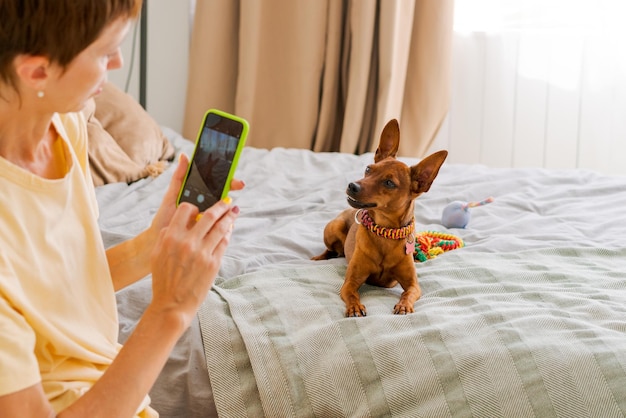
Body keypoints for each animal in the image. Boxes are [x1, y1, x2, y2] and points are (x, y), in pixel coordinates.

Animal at [314, 120, 446, 316]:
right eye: (368, 169)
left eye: (389, 183)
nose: (352, 185)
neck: (385, 232)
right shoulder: (350, 282)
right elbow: (352, 294)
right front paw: (355, 307)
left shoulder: (413, 284)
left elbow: (408, 293)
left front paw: (404, 305)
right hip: (333, 228)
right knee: (330, 249)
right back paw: (319, 257)